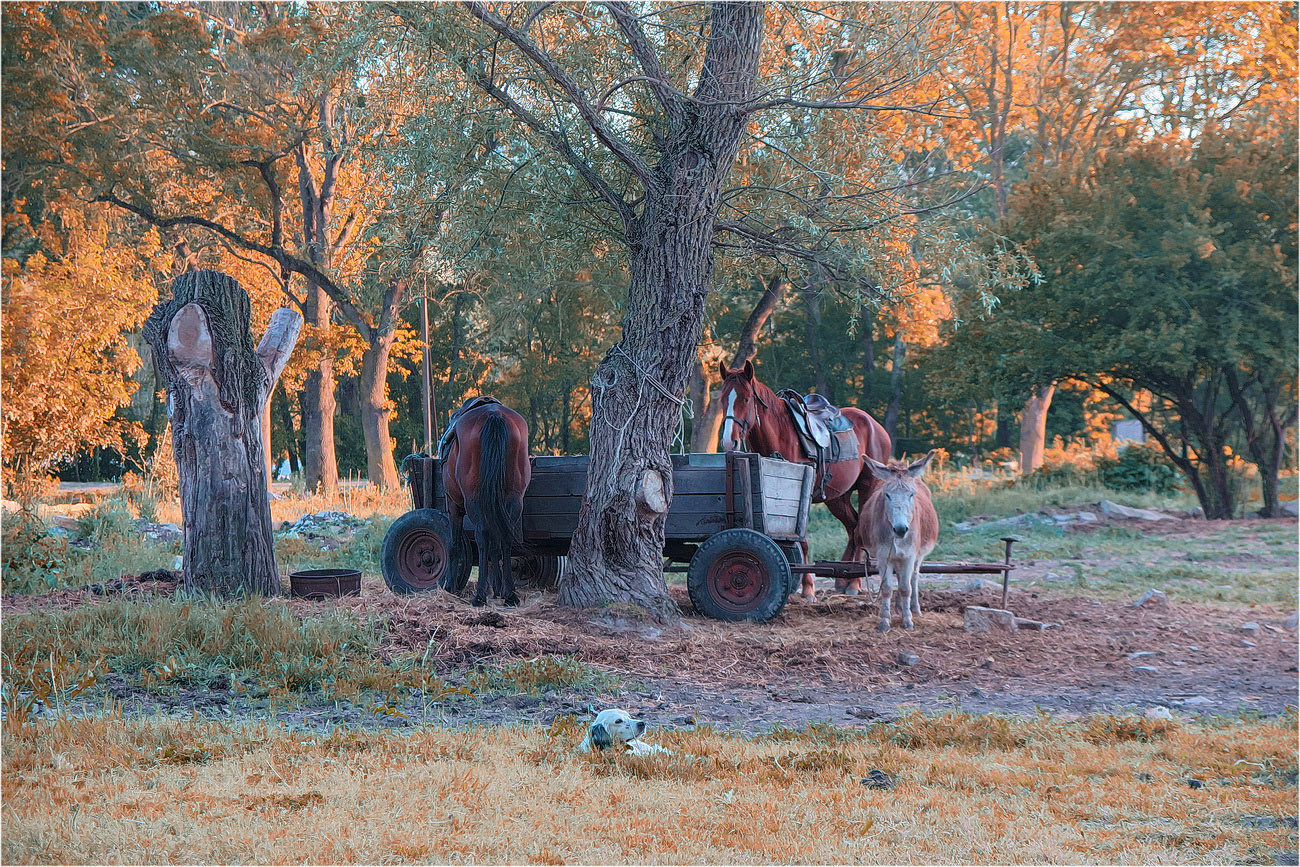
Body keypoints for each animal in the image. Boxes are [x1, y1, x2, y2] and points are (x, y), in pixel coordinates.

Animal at [444, 397, 530, 608]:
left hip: (473, 500)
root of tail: (494, 414)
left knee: (482, 535)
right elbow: (496, 544)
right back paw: (510, 595)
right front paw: (498, 587)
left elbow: (454, 544)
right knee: (505, 538)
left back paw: (480, 595)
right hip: (514, 498)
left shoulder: (453, 506)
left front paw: (450, 585)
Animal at [717, 363, 889, 600]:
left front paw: (808, 588)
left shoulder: (801, 497)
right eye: (723, 399)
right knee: (853, 527)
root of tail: (876, 426)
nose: (728, 441)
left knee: (860, 530)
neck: (781, 435)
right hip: (838, 497)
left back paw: (854, 583)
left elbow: (803, 542)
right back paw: (843, 579)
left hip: (868, 487)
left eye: (745, 398)